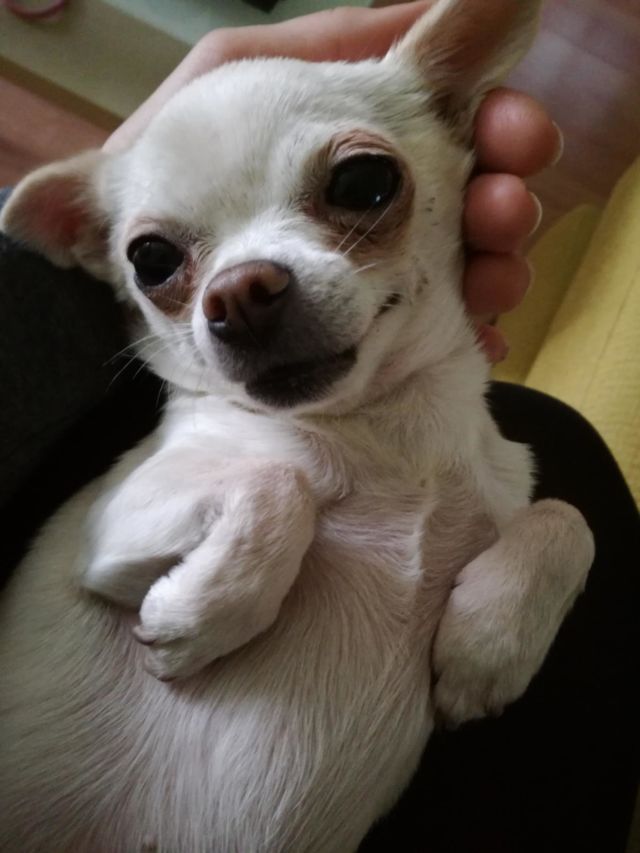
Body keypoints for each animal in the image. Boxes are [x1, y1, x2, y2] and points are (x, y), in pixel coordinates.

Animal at [0, 1, 595, 850]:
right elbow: (276, 480)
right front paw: (199, 617)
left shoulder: (521, 495)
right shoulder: (111, 529)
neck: (374, 427)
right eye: (150, 260)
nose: (241, 293)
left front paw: (487, 646)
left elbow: (568, 518)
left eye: (363, 183)